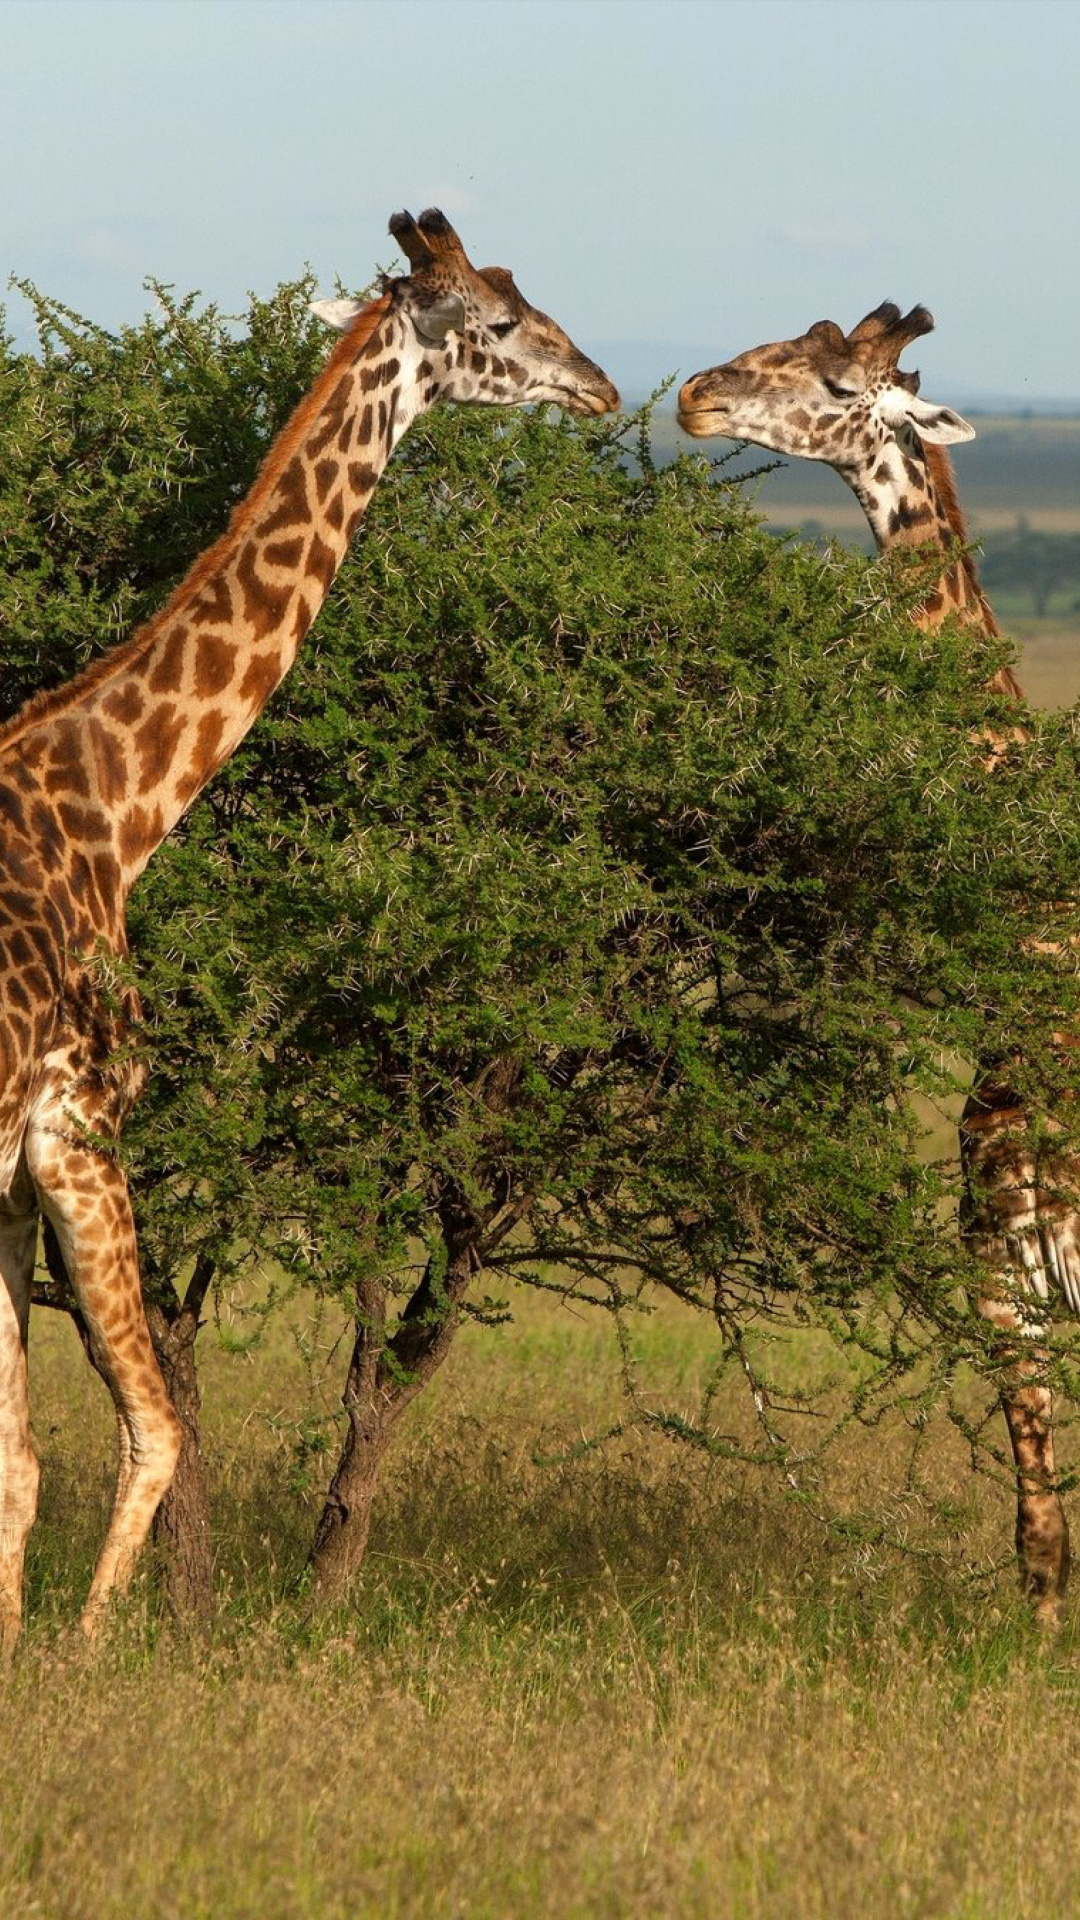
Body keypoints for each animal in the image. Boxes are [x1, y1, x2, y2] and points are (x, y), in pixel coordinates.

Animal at [0, 210, 618, 1651]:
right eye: (499, 325)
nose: (603, 388)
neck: (121, 804)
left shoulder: (8, 1165)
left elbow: (17, 1452)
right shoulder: (78, 1127)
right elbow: (150, 1430)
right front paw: (77, 1660)